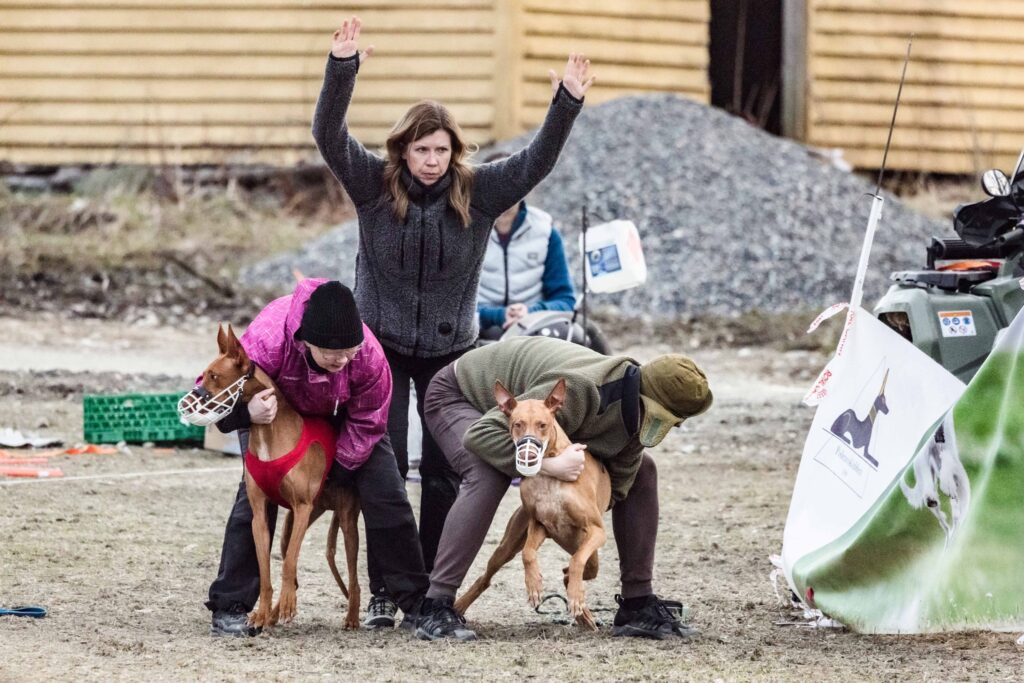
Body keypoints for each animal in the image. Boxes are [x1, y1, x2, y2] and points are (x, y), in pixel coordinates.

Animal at [182, 325, 362, 630]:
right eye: (204, 374)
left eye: (214, 376)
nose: (189, 402)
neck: (268, 433)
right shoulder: (261, 515)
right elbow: (266, 569)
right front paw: (263, 613)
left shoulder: (302, 507)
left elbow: (288, 564)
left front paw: (285, 606)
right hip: (293, 525)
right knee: (292, 561)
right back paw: (276, 613)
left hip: (346, 523)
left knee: (353, 577)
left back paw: (351, 616)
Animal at [454, 378, 606, 630]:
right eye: (517, 424)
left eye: (542, 425)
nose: (529, 455)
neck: (550, 476)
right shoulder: (537, 525)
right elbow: (528, 554)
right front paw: (534, 585)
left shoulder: (596, 530)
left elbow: (576, 562)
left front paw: (575, 597)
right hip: (506, 547)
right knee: (485, 578)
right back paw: (458, 605)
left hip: (591, 553)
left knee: (576, 568)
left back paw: (581, 608)